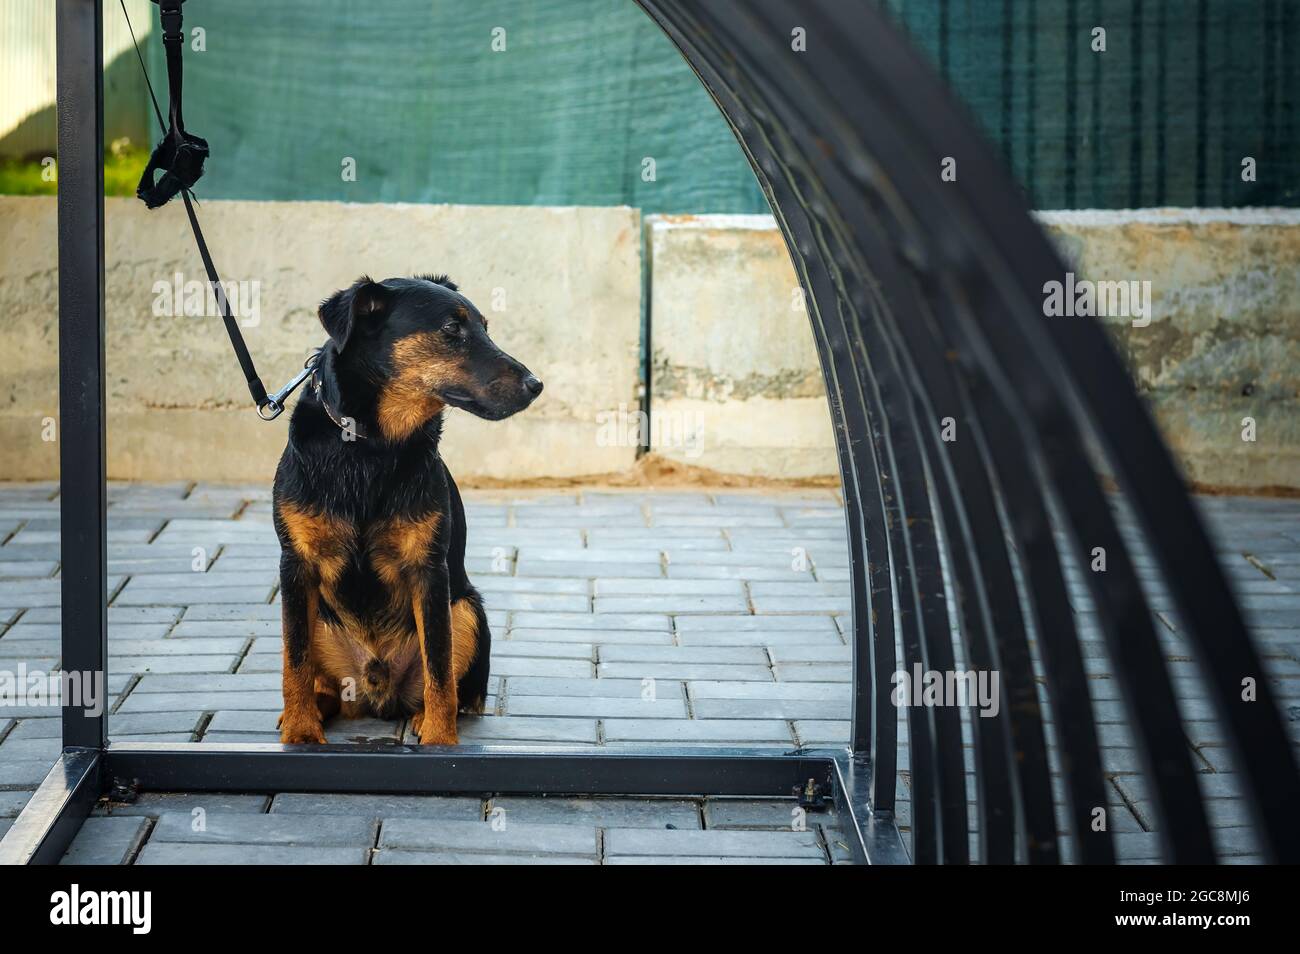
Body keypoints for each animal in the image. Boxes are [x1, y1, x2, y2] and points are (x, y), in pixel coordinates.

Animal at [271, 274, 540, 748]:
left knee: (453, 685)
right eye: (452, 329)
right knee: (320, 678)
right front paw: (301, 733)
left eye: (486, 328)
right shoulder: (296, 565)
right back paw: (311, 710)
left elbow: (439, 667)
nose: (536, 384)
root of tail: (377, 692)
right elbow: (295, 661)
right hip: (318, 616)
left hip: (466, 609)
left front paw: (439, 741)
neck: (371, 446)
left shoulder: (428, 570)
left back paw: (421, 716)